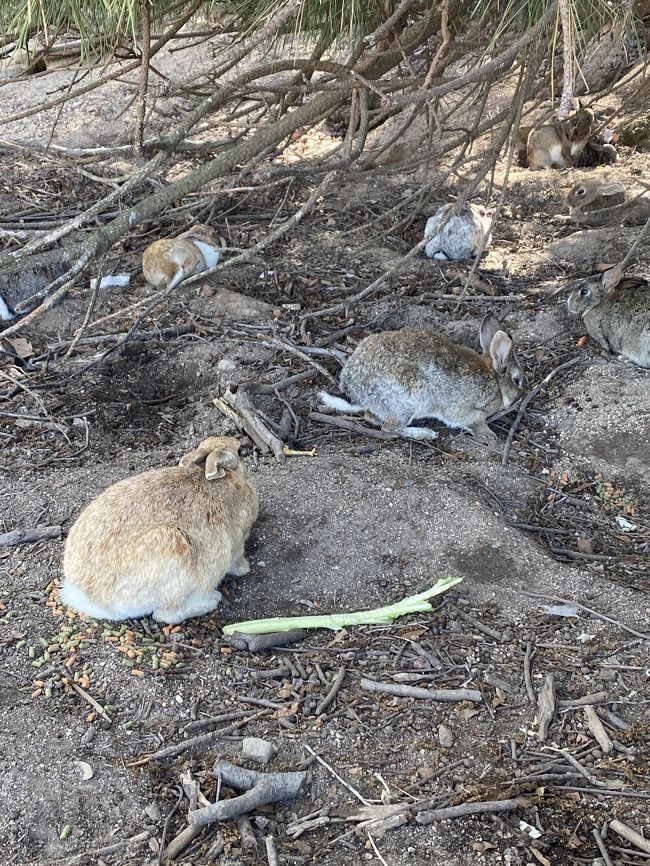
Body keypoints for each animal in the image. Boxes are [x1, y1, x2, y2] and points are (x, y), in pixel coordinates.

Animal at [60, 438, 258, 620]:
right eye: (239, 452)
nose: (238, 443)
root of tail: (90, 598)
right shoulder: (239, 540)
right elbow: (237, 557)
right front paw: (244, 568)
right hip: (177, 557)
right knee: (166, 615)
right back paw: (211, 601)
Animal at [316, 314, 524, 442]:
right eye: (517, 380)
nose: (520, 397)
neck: (495, 380)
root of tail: (354, 389)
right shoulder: (461, 408)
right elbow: (474, 419)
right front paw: (489, 435)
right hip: (408, 400)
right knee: (389, 427)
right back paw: (424, 433)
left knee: (372, 417)